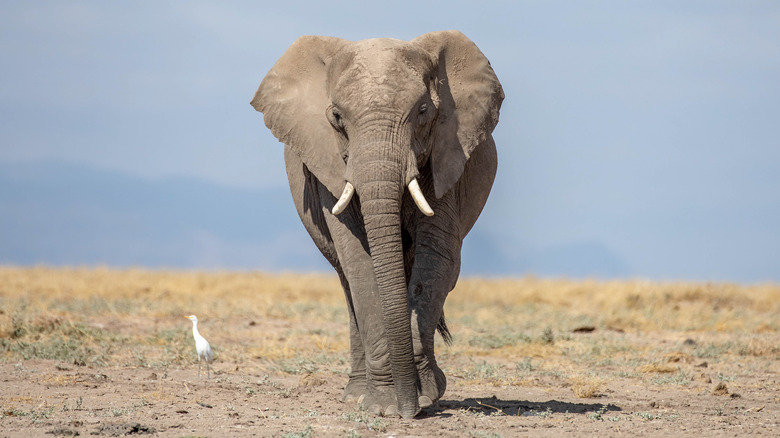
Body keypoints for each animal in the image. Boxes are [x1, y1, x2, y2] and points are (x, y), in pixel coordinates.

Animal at [253, 29, 502, 420]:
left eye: (423, 111)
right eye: (336, 116)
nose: (408, 411)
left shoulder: (447, 154)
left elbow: (437, 257)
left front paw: (424, 395)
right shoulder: (328, 166)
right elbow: (359, 261)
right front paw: (385, 404)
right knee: (346, 280)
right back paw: (355, 394)